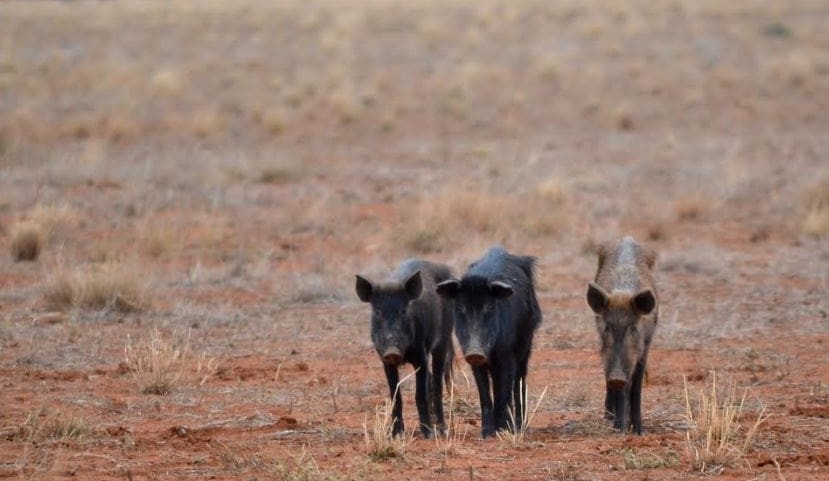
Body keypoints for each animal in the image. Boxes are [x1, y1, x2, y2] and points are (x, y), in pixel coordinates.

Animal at [355, 259, 454, 438]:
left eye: (403, 310)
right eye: (377, 312)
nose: (392, 351)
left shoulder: (421, 356)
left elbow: (419, 395)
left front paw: (428, 434)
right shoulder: (385, 362)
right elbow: (395, 396)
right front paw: (395, 434)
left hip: (443, 339)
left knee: (437, 382)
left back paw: (442, 429)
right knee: (431, 380)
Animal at [436, 247, 542, 438]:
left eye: (489, 307)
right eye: (460, 308)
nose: (475, 352)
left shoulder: (507, 355)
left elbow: (503, 391)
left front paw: (502, 431)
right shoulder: (474, 363)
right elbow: (484, 394)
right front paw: (486, 434)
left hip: (526, 346)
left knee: (518, 383)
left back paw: (518, 426)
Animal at [585, 236, 658, 435]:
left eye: (633, 328)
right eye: (607, 327)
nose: (617, 377)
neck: (623, 293)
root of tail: (627, 238)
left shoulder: (645, 347)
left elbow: (636, 387)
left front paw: (639, 431)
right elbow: (621, 389)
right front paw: (619, 429)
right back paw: (608, 418)